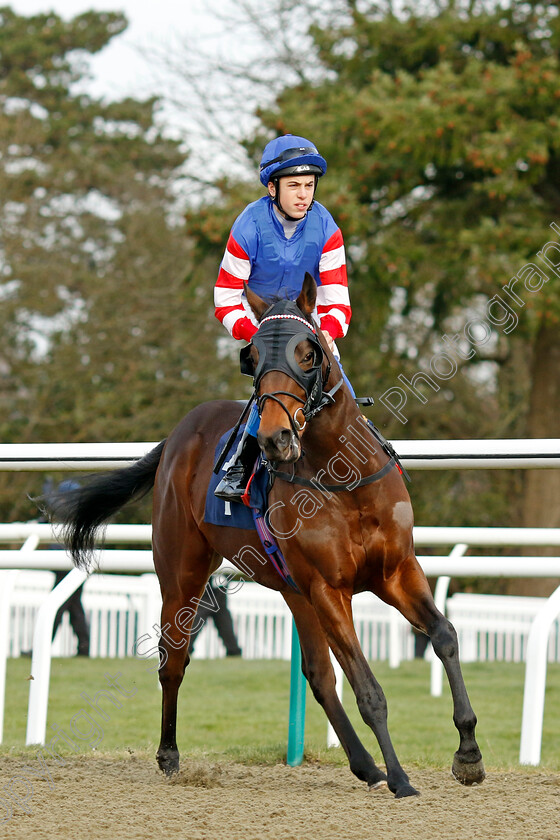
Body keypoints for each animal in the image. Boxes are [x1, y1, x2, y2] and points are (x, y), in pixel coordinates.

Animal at [49, 276, 486, 800]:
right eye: (252, 356)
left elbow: (444, 637)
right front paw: (401, 778)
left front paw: (468, 755)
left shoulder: (396, 571)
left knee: (318, 676)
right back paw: (169, 755)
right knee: (173, 661)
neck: (344, 478)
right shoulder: (330, 588)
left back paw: (365, 765)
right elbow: (368, 688)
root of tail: (178, 435)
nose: (276, 438)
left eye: (308, 352)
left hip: (295, 592)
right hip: (183, 574)